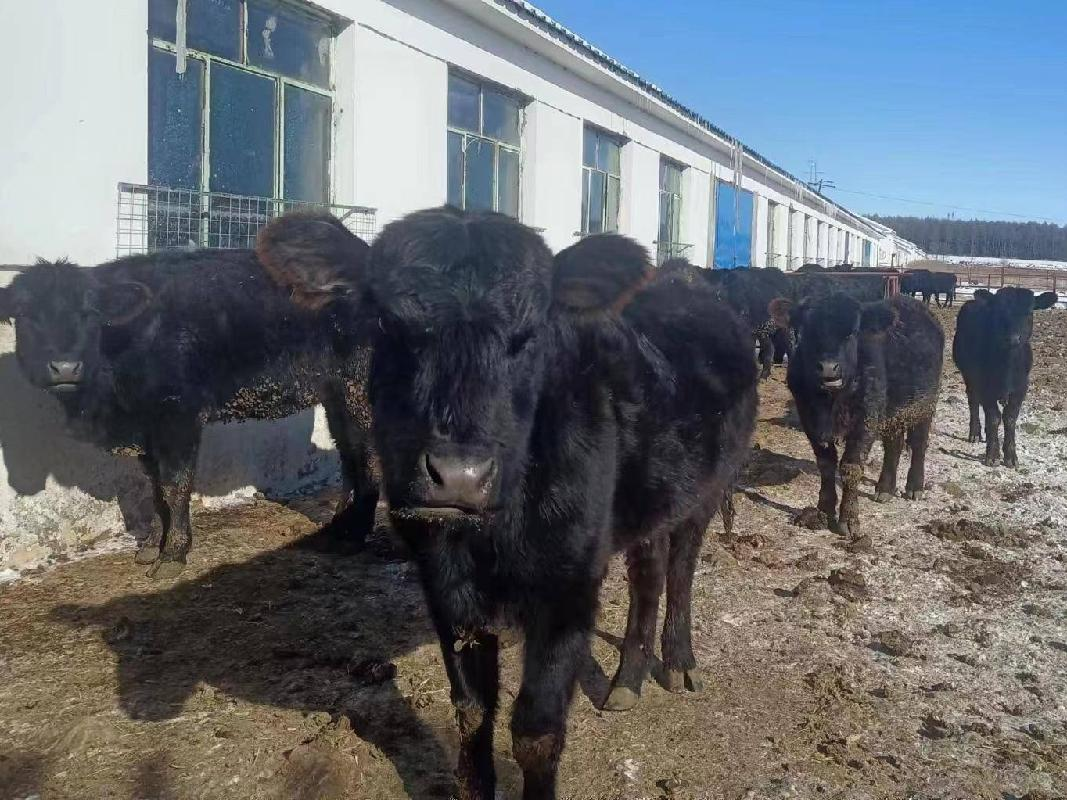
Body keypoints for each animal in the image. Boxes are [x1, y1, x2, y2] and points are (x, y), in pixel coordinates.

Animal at [0, 248, 378, 578]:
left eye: (89, 312)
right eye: (24, 314)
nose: (65, 367)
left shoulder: (177, 414)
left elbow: (174, 485)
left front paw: (173, 553)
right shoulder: (147, 428)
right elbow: (153, 488)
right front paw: (151, 545)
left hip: (360, 391)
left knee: (369, 458)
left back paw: (356, 533)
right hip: (336, 395)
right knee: (349, 455)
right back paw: (339, 528)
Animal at [254, 207, 759, 800]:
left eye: (530, 335)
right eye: (389, 326)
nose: (459, 476)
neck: (493, 536)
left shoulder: (568, 585)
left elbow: (537, 732)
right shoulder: (445, 586)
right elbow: (472, 712)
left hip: (708, 486)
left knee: (680, 569)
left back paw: (678, 661)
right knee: (649, 572)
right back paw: (628, 679)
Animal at [781, 293, 943, 538]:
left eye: (851, 333)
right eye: (806, 332)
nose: (828, 368)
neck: (831, 400)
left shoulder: (865, 421)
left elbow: (851, 467)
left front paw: (848, 520)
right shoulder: (809, 419)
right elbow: (826, 464)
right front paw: (822, 511)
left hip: (924, 405)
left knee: (918, 443)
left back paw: (914, 487)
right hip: (892, 413)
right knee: (894, 446)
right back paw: (885, 488)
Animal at [953, 287, 1058, 467]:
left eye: (1029, 312)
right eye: (999, 312)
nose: (1012, 338)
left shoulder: (1021, 387)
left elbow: (1009, 418)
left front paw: (1011, 456)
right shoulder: (985, 385)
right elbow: (993, 417)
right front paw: (993, 455)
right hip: (968, 375)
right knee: (973, 401)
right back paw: (975, 433)